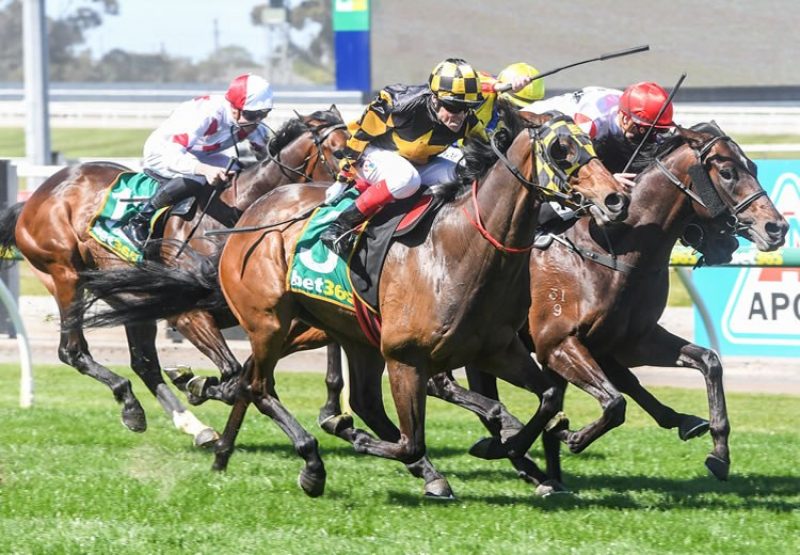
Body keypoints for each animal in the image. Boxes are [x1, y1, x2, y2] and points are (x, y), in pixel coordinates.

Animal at [0, 108, 350, 448]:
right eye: (339, 152)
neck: (238, 214)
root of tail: (36, 196)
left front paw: (335, 417)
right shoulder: (188, 312)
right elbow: (234, 373)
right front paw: (197, 383)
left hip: (130, 299)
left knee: (144, 363)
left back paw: (192, 426)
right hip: (65, 274)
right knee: (73, 351)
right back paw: (133, 402)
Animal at [208, 109, 632, 500]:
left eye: (591, 141)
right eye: (561, 148)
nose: (616, 198)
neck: (458, 249)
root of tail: (253, 212)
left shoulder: (497, 349)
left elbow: (557, 399)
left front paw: (509, 445)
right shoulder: (406, 357)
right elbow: (414, 440)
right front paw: (352, 436)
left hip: (355, 334)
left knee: (363, 402)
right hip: (270, 323)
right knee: (260, 387)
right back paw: (312, 461)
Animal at [462, 120, 788, 482]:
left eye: (754, 167)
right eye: (728, 172)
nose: (776, 227)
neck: (613, 252)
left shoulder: (632, 341)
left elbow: (709, 362)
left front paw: (718, 453)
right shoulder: (557, 344)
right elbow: (613, 403)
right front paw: (570, 437)